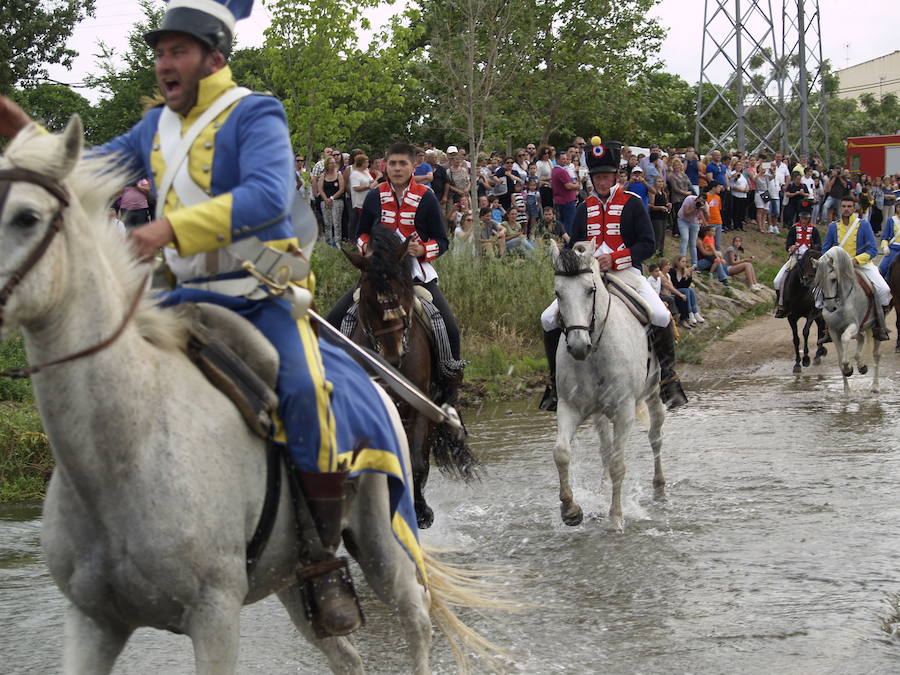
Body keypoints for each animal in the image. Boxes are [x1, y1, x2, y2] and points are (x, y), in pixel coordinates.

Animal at [342, 227, 478, 528]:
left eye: (404, 290)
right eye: (367, 299)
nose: (393, 357)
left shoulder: (419, 406)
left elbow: (417, 461)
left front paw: (421, 512)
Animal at [544, 243, 664, 532]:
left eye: (590, 290)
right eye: (557, 293)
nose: (578, 346)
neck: (595, 349)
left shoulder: (624, 412)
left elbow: (618, 465)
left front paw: (616, 519)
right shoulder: (569, 406)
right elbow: (561, 453)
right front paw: (571, 510)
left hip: (654, 392)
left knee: (655, 437)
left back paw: (659, 489)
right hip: (599, 414)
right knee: (605, 452)